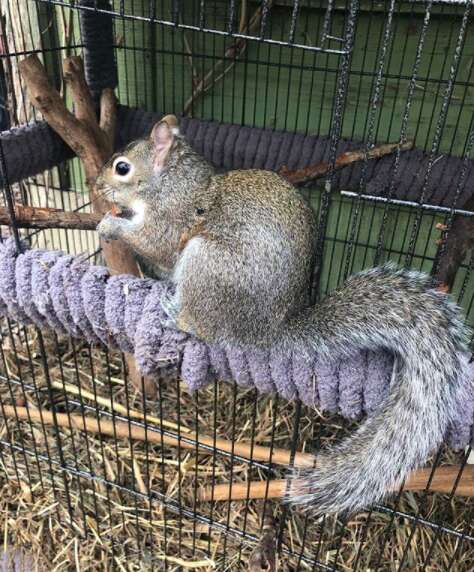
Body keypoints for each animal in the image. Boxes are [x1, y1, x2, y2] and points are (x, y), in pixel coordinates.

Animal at [96, 114, 470, 516]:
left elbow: (156, 244)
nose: (96, 186)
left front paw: (109, 224)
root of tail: (269, 329)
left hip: (206, 263)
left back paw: (173, 314)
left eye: (122, 167)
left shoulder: (173, 220)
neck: (169, 183)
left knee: (202, 327)